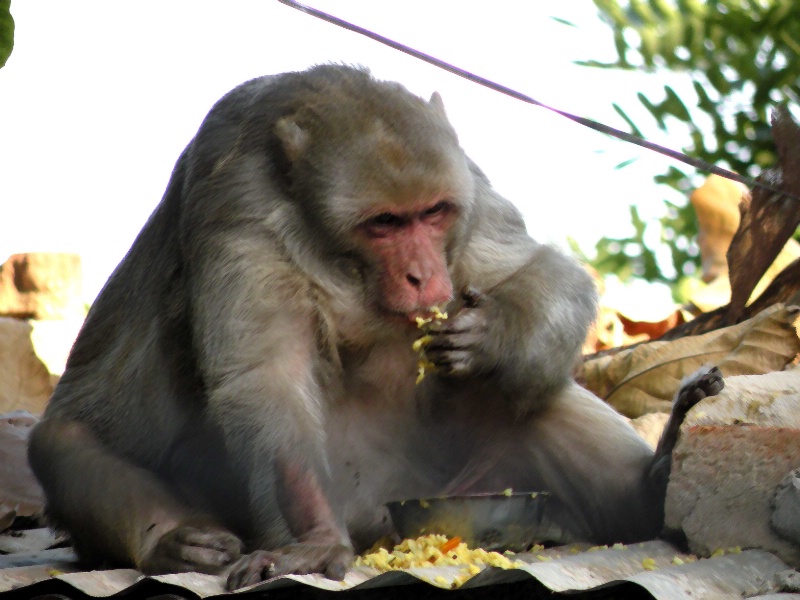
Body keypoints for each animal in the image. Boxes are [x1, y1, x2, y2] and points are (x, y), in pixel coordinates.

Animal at [28, 65, 720, 592]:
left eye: (432, 213)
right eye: (384, 223)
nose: (423, 275)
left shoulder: (467, 184)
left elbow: (540, 271)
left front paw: (492, 335)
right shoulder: (234, 202)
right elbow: (266, 376)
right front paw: (311, 538)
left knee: (528, 392)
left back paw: (653, 486)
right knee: (63, 445)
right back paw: (172, 541)